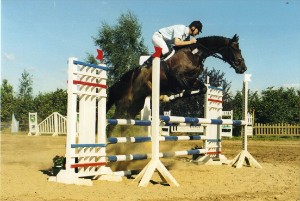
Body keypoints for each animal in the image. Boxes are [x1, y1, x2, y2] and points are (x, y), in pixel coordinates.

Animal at [106, 34, 247, 119]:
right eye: (235, 49)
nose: (243, 68)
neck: (195, 54)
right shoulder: (177, 76)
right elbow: (184, 89)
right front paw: (170, 96)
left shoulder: (192, 80)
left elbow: (202, 89)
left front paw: (171, 97)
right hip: (126, 100)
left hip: (136, 104)